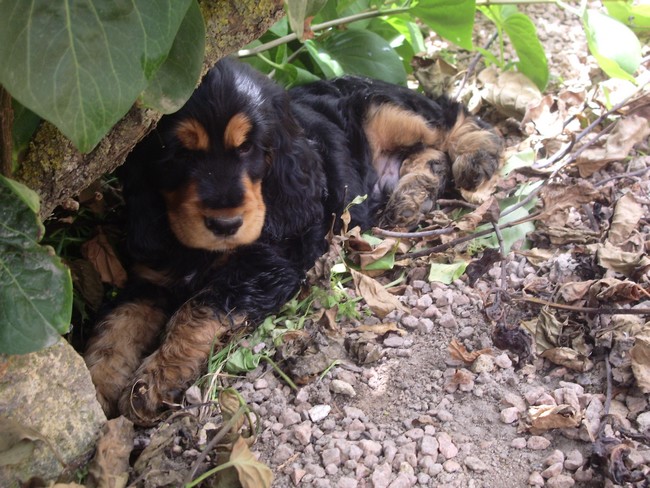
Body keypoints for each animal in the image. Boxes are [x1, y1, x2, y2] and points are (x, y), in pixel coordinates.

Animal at [85, 56, 502, 424]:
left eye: (248, 148)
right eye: (177, 153)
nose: (226, 224)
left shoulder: (270, 264)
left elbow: (197, 308)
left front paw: (154, 381)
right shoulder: (151, 276)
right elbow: (117, 324)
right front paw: (96, 387)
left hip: (384, 109)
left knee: (450, 119)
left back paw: (476, 156)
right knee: (431, 154)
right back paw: (410, 199)